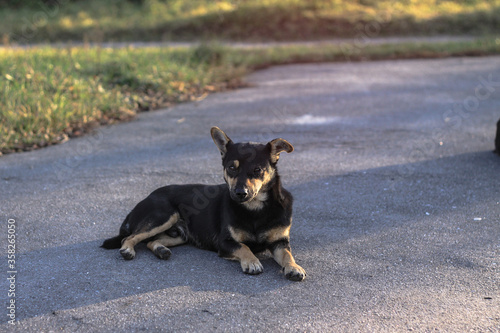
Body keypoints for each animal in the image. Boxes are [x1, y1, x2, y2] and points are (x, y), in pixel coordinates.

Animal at [101, 126, 304, 280]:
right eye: (231, 167)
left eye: (257, 170)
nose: (240, 193)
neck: (255, 209)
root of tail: (145, 198)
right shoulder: (225, 242)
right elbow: (244, 247)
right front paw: (252, 261)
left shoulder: (279, 242)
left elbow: (287, 254)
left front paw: (294, 267)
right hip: (164, 216)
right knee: (130, 238)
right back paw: (128, 250)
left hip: (179, 234)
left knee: (151, 241)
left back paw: (161, 250)